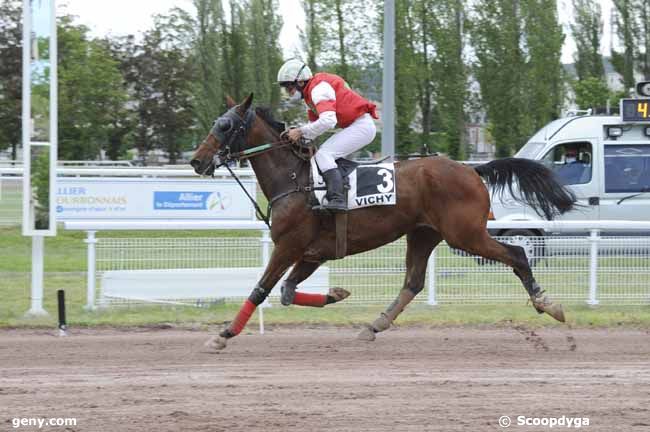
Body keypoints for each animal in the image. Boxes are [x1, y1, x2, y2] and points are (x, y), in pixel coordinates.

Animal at [190, 94, 576, 352]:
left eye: (225, 125)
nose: (196, 161)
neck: (295, 179)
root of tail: (472, 169)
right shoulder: (313, 253)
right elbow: (286, 292)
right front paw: (335, 293)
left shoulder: (289, 246)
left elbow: (261, 289)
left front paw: (223, 335)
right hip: (423, 235)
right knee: (413, 283)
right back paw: (374, 325)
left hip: (465, 235)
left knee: (517, 255)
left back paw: (549, 305)